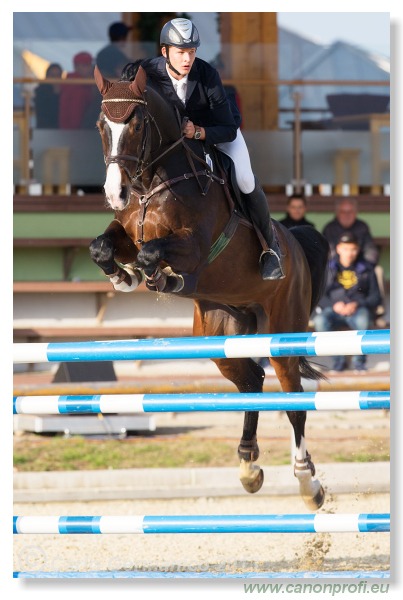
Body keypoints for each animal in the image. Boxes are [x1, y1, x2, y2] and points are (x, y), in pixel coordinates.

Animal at [90, 63, 330, 508]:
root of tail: (296, 245)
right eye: (101, 125)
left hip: (283, 327)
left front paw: (162, 276)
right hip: (221, 333)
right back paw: (248, 466)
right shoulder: (126, 233)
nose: (116, 193)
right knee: (251, 382)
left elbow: (155, 253)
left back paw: (308, 483)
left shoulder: (193, 247)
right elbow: (102, 247)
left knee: (293, 400)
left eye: (136, 124)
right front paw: (124, 276)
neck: (152, 183)